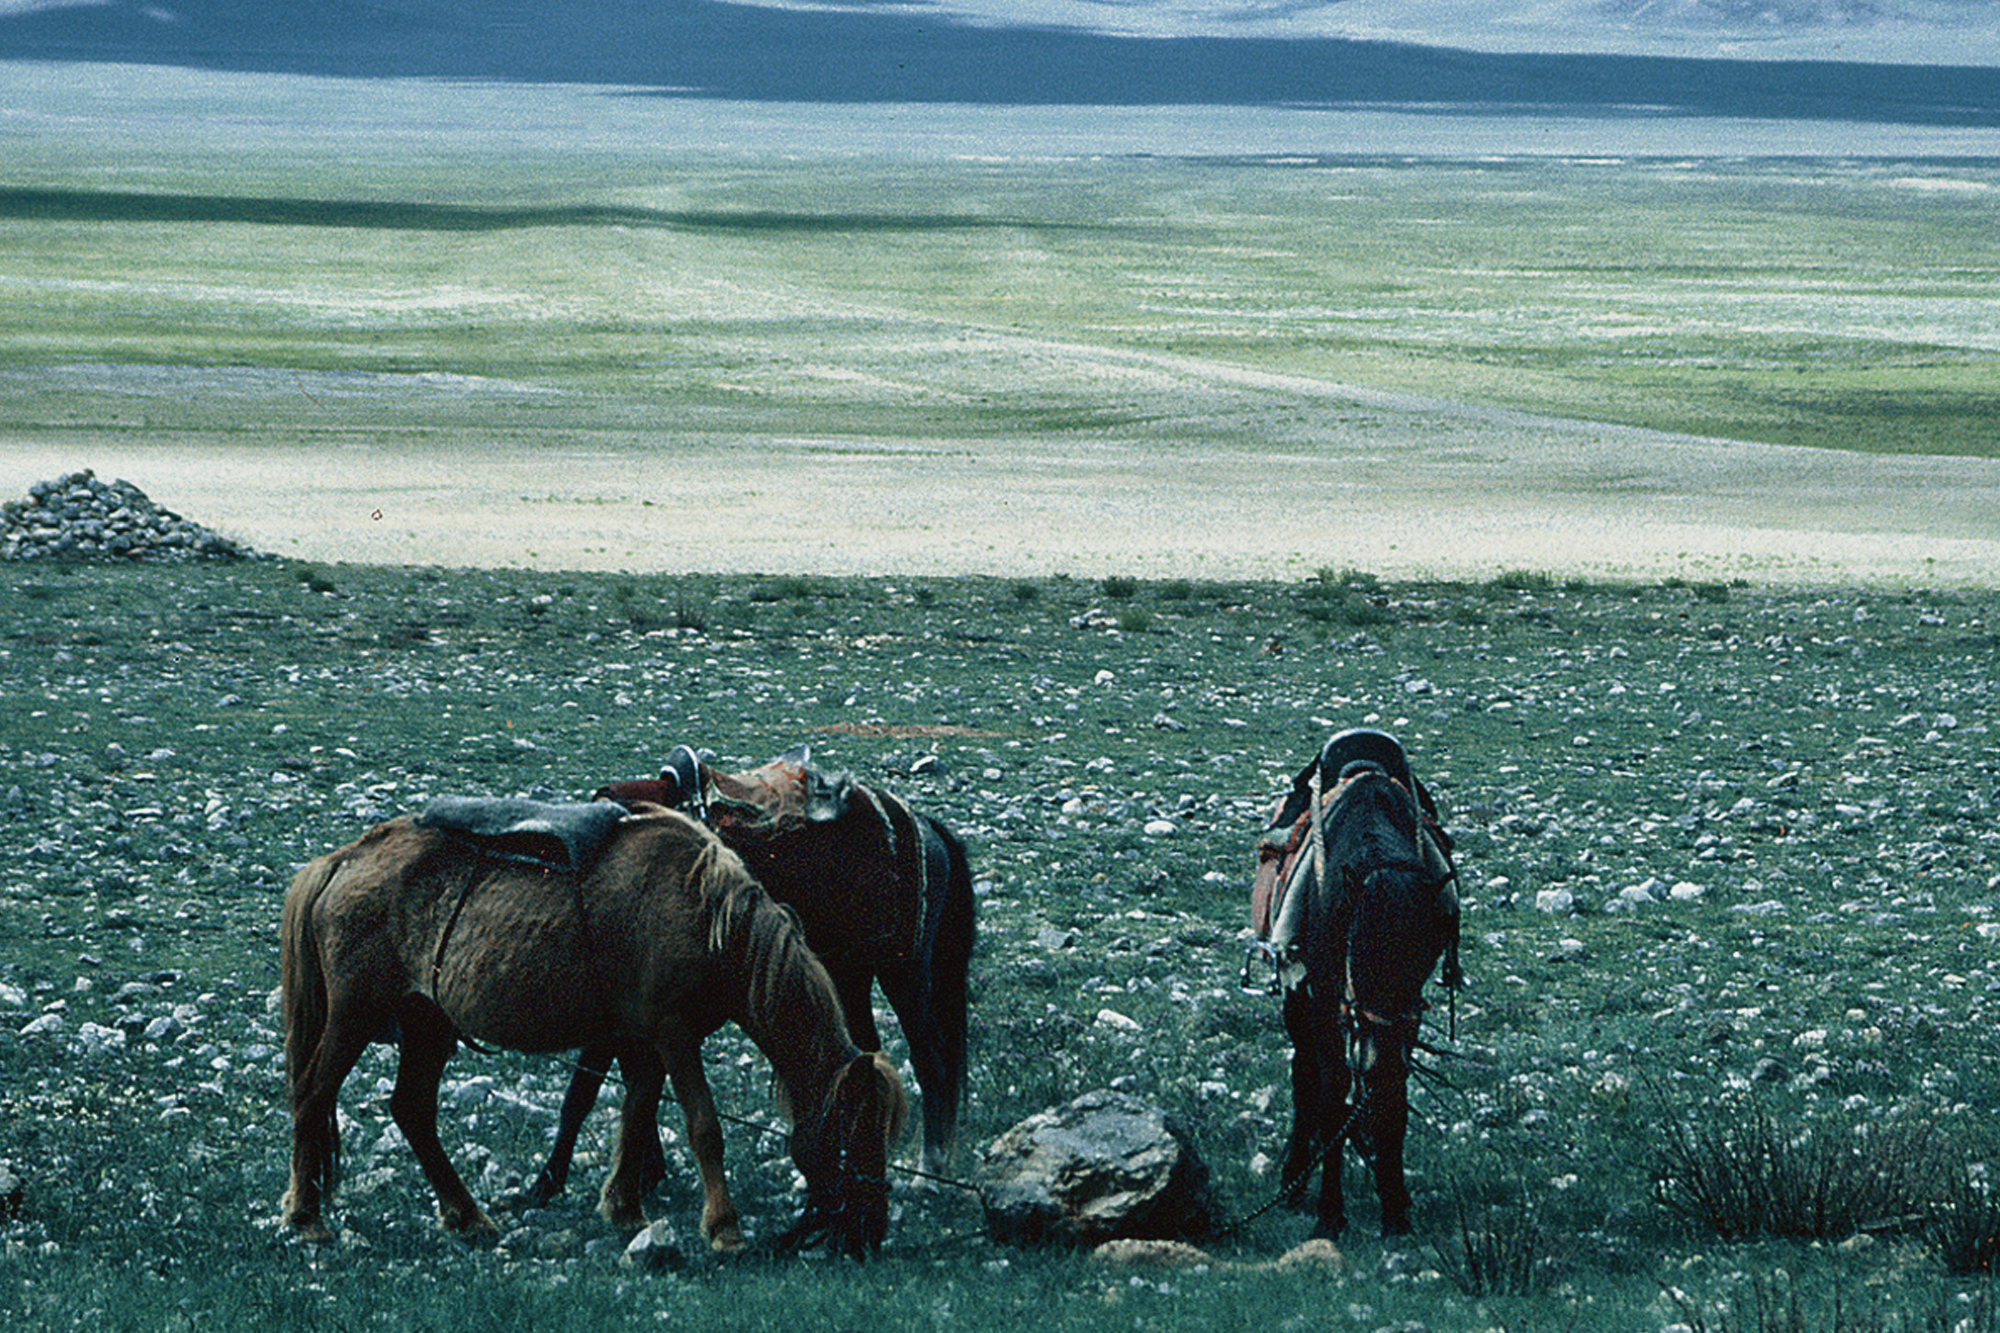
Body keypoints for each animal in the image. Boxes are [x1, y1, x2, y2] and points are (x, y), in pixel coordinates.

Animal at [280, 804, 908, 1248]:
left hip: (427, 1023)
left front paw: (624, 1207)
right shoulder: (674, 1033)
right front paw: (724, 1228)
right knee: (313, 1093)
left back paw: (468, 1216)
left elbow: (636, 1111)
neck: (708, 918)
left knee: (411, 1110)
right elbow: (703, 1125)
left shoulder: (643, 1038)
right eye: (852, 1135)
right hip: (354, 1016)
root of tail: (341, 862)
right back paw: (307, 1217)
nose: (872, 1230)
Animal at [524, 736, 976, 1200]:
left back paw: (928, 1168)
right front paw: (643, 1172)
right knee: (867, 1054)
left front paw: (548, 1183)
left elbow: (585, 1090)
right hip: (850, 974)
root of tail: (925, 827)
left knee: (929, 1060)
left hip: (902, 972)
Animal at [1256, 728, 1464, 1232]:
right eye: (1357, 949)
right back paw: (1294, 1179)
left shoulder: (1405, 1016)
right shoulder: (1326, 1001)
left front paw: (1396, 1207)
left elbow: (1391, 1096)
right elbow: (1333, 1098)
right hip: (1299, 999)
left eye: (1423, 953)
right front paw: (1330, 1212)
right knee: (1305, 1077)